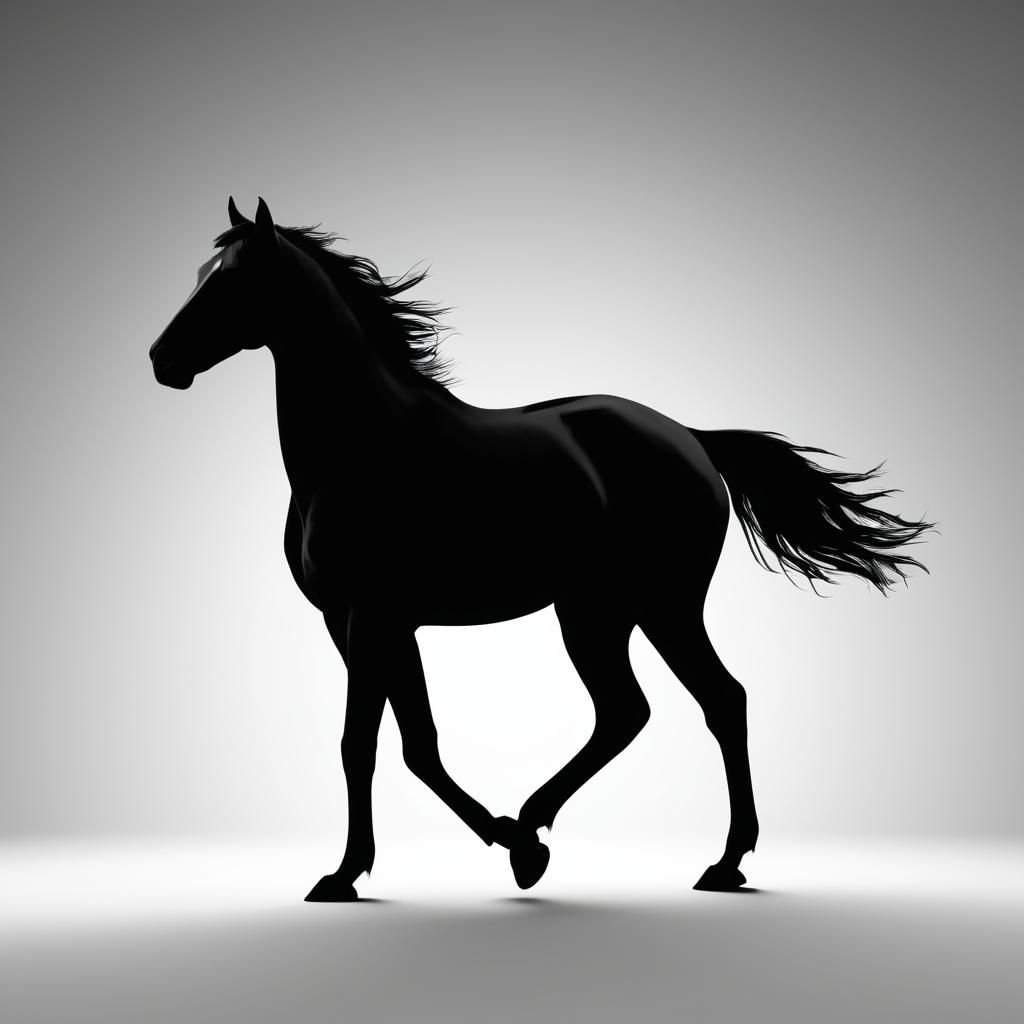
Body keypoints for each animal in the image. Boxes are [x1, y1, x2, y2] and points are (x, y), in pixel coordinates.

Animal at [149, 197, 932, 900]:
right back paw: (580, 837)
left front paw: (345, 876)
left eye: (232, 279)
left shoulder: (369, 617)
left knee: (708, 702)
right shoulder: (368, 623)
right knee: (643, 710)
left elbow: (359, 745)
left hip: (649, 607)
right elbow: (416, 745)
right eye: (201, 272)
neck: (359, 448)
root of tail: (690, 438)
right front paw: (509, 848)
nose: (161, 360)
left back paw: (713, 860)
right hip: (606, 612)